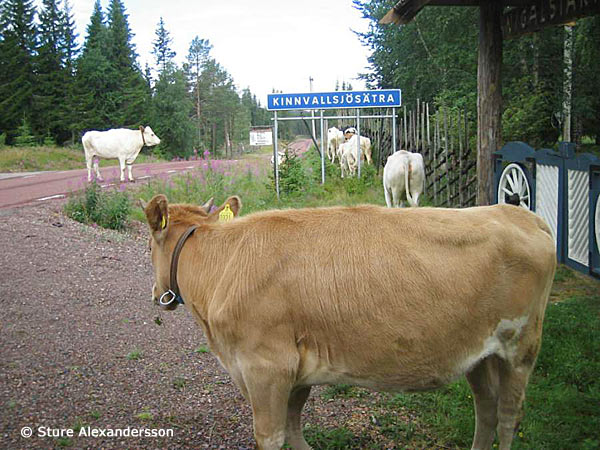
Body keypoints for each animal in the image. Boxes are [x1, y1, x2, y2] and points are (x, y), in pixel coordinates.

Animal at [143, 197, 556, 450]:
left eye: (149, 246)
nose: (157, 293)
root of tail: (523, 214)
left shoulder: (266, 368)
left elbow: (272, 436)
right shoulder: (294, 371)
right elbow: (294, 427)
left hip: (521, 346)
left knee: (508, 416)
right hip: (479, 354)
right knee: (485, 409)